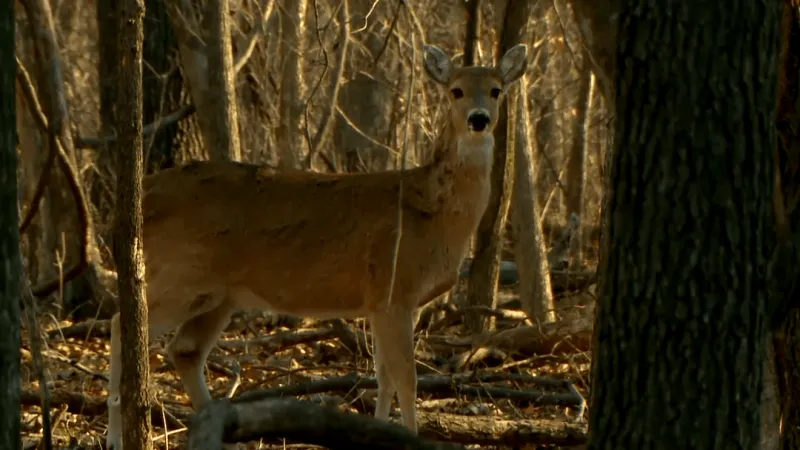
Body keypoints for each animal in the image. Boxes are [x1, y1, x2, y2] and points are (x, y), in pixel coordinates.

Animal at [105, 43, 528, 450]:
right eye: (456, 90)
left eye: (496, 90)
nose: (478, 118)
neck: (433, 212)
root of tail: (142, 196)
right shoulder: (394, 290)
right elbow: (406, 377)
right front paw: (409, 436)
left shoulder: (380, 301)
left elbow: (384, 376)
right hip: (181, 274)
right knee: (122, 324)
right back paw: (115, 437)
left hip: (218, 294)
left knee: (184, 350)